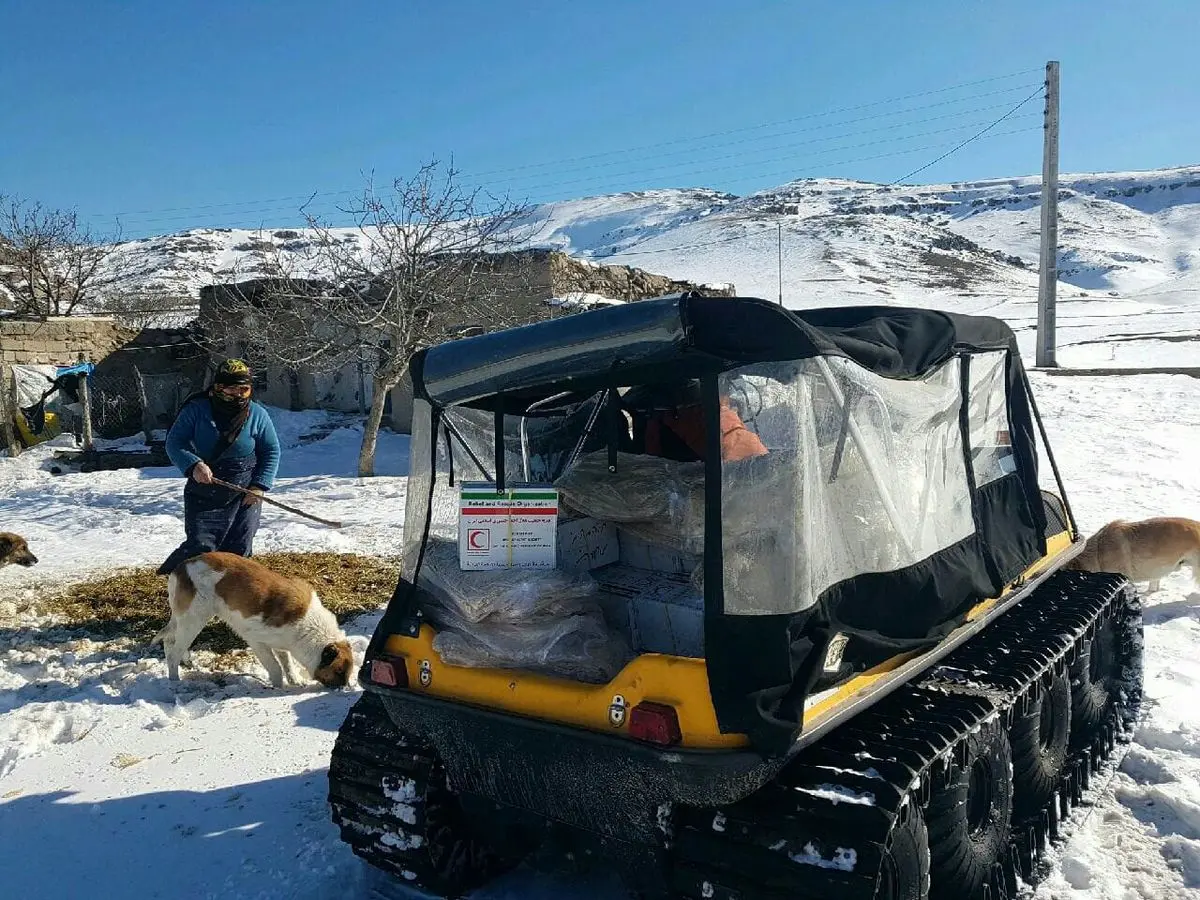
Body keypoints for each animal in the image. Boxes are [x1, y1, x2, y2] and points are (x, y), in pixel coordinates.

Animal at [152, 549, 352, 691]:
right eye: (339, 671)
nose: (344, 690)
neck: (310, 625)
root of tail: (181, 568)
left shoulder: (281, 642)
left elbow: (287, 663)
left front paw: (295, 681)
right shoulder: (256, 641)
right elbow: (275, 667)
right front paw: (278, 689)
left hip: (186, 622)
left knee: (169, 641)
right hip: (194, 621)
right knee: (173, 654)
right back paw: (175, 682)